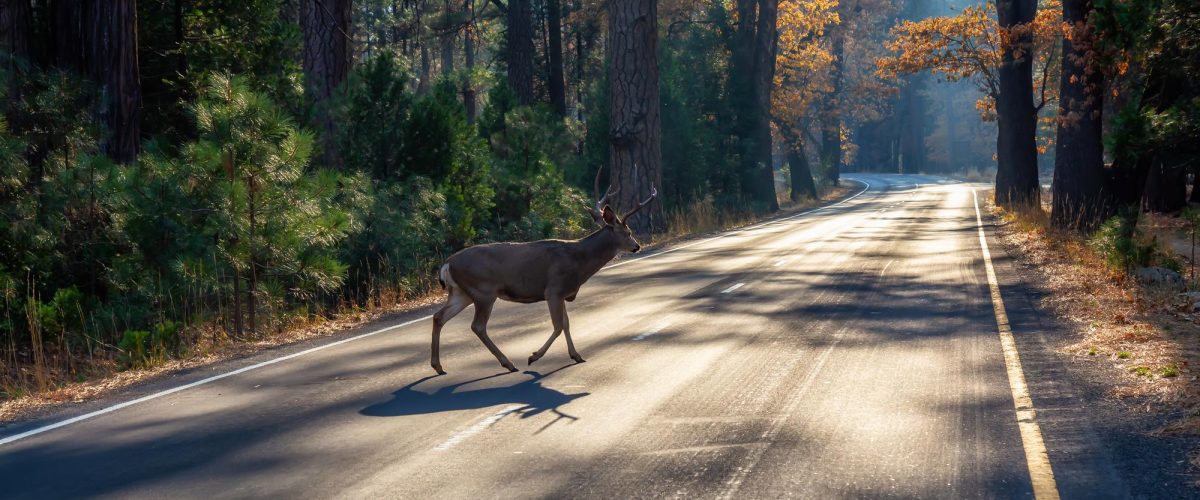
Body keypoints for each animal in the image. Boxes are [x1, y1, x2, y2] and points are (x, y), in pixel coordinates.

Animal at [429, 168, 657, 375]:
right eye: (628, 232)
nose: (637, 246)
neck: (579, 261)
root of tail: (447, 264)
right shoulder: (553, 289)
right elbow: (558, 326)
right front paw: (534, 357)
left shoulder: (562, 293)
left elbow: (566, 323)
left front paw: (576, 355)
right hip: (484, 291)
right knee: (477, 326)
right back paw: (508, 363)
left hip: (462, 292)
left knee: (439, 317)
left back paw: (438, 367)